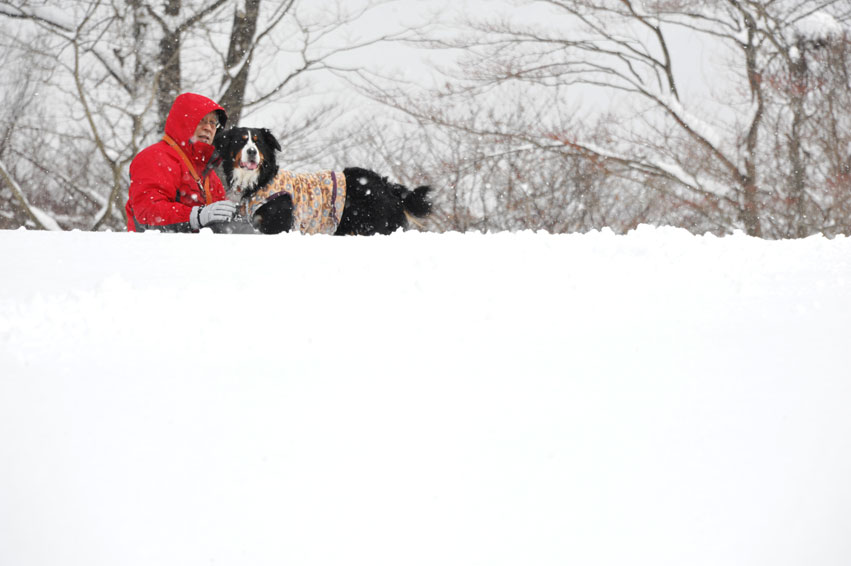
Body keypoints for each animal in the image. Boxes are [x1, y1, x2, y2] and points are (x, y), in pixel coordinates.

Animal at [210, 128, 430, 235]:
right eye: (240, 141)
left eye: (258, 142)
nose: (252, 152)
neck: (260, 182)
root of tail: (386, 186)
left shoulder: (278, 223)